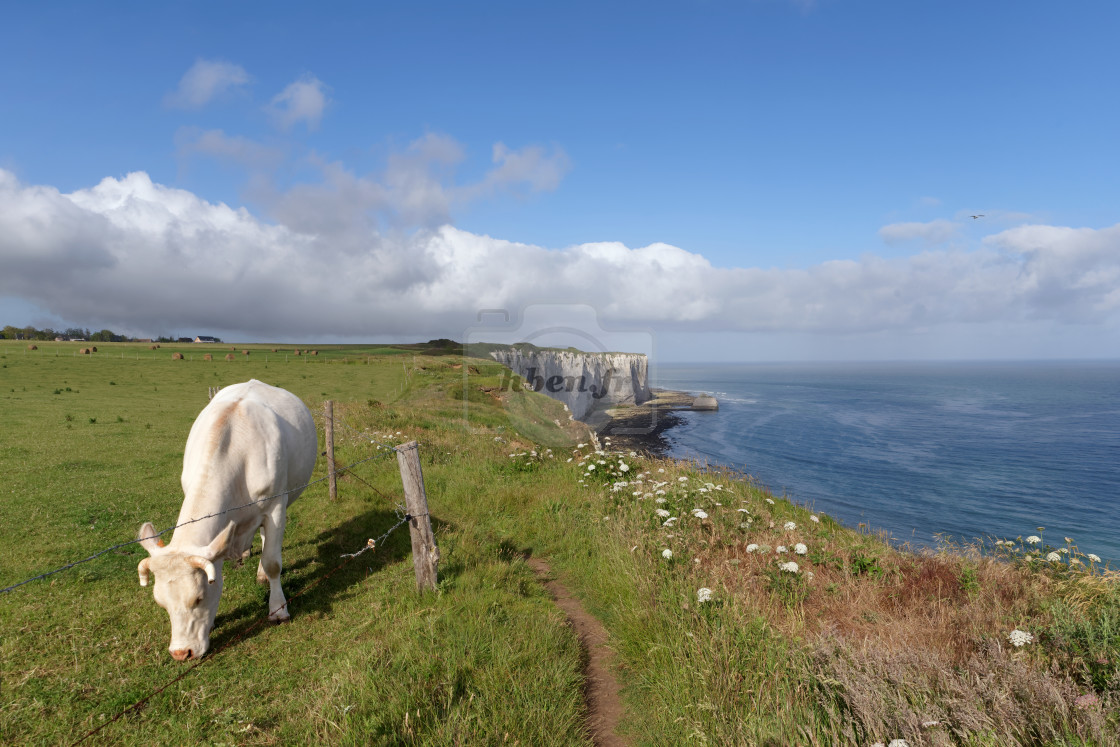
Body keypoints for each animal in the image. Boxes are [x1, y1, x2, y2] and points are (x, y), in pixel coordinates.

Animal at [139, 380, 318, 658]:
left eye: (198, 597)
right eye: (161, 602)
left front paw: (278, 609)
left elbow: (272, 562)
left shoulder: (276, 506)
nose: (181, 653)